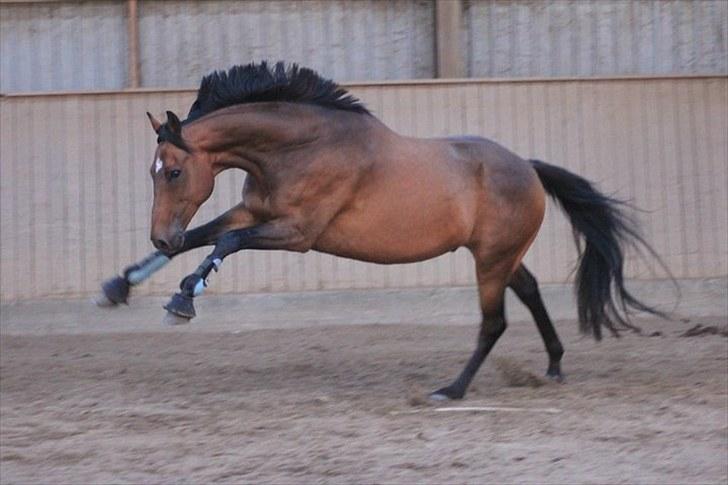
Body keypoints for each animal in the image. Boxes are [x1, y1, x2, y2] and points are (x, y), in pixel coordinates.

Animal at [98, 61, 664, 400]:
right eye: (153, 171)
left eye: (173, 171)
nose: (160, 236)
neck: (298, 148)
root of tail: (527, 167)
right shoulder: (253, 213)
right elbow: (204, 238)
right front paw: (118, 286)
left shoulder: (298, 233)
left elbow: (222, 243)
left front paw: (182, 302)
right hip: (499, 255)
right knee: (528, 291)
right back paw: (553, 366)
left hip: (489, 261)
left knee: (494, 322)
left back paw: (452, 390)